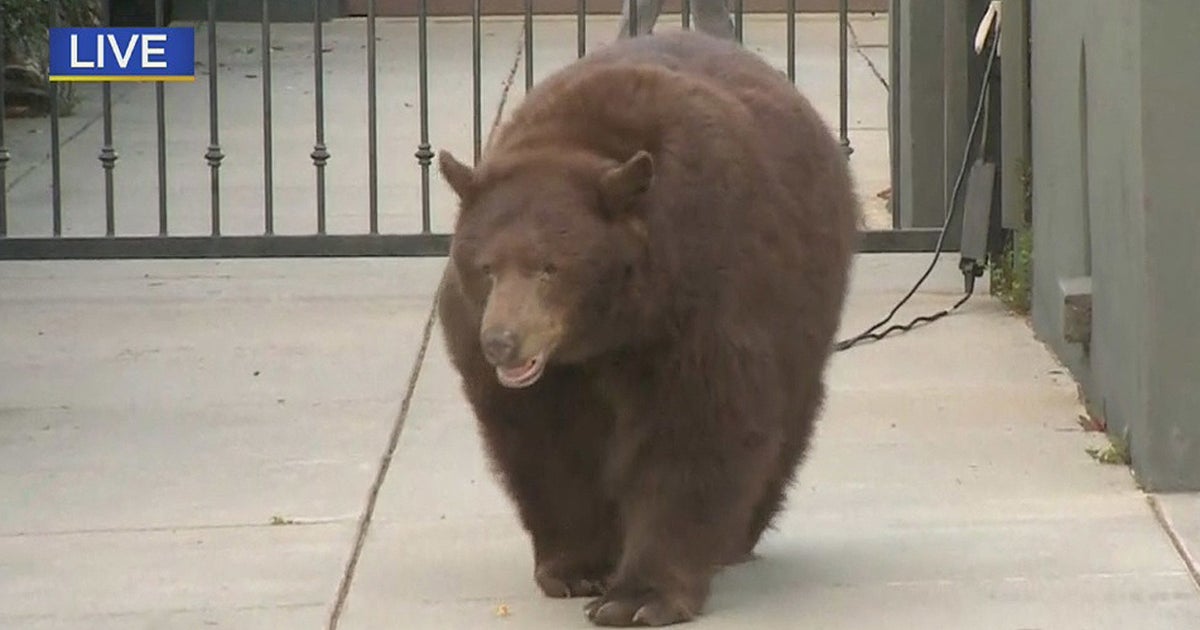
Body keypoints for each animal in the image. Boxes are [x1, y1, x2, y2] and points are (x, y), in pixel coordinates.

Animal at [434, 30, 860, 627]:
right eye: (486, 266)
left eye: (550, 267)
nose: (501, 342)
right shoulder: (535, 370)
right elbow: (545, 441)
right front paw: (578, 567)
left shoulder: (702, 301)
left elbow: (695, 429)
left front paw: (638, 595)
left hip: (805, 300)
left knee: (788, 411)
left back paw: (737, 537)